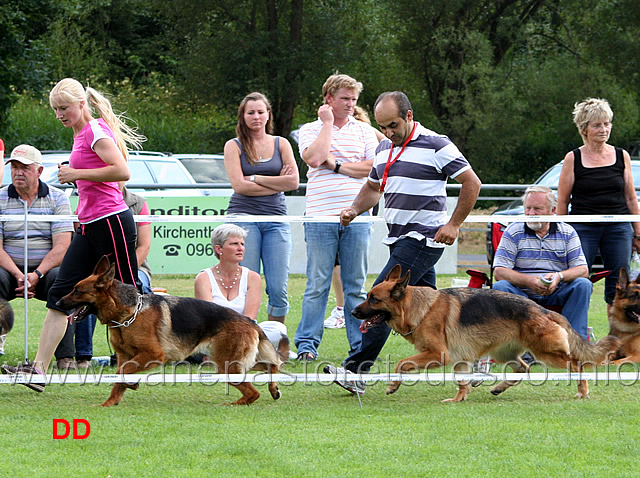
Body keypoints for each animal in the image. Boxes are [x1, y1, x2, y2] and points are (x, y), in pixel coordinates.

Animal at [57, 258, 284, 408]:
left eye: (77, 290)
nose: (57, 302)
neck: (129, 314)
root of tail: (249, 322)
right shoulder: (124, 356)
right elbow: (118, 377)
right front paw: (110, 402)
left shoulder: (152, 354)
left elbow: (121, 372)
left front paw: (130, 384)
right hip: (236, 362)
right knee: (272, 365)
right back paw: (273, 388)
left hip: (227, 365)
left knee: (254, 391)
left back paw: (236, 403)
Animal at [350, 266, 620, 404]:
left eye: (373, 299)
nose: (352, 312)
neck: (419, 308)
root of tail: (544, 310)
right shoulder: (459, 360)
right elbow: (462, 382)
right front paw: (459, 399)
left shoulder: (438, 354)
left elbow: (400, 363)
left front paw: (393, 385)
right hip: (504, 354)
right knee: (523, 369)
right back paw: (499, 387)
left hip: (547, 353)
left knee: (577, 364)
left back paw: (583, 391)